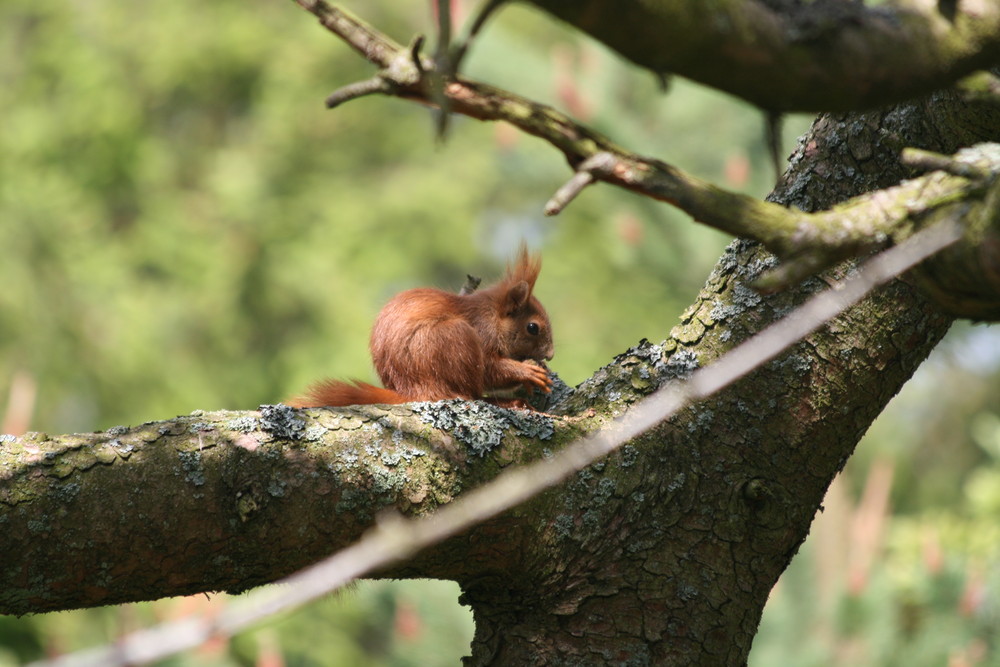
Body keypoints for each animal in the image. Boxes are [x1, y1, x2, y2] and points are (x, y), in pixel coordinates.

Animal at [288, 247, 556, 408]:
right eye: (533, 327)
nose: (551, 355)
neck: (492, 315)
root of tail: (413, 391)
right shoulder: (482, 331)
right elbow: (490, 369)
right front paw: (527, 372)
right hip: (453, 339)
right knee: (470, 393)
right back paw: (506, 403)